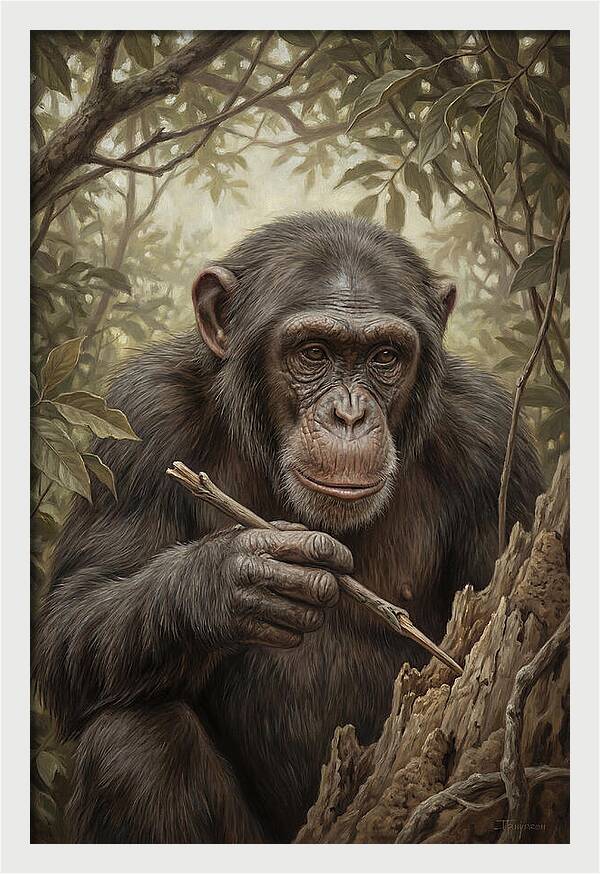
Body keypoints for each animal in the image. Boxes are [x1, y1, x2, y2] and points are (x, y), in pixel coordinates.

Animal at [33, 212, 543, 843]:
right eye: (313, 353)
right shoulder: (141, 417)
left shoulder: (494, 443)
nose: (349, 414)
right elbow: (71, 617)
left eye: (384, 357)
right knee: (133, 740)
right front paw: (235, 580)